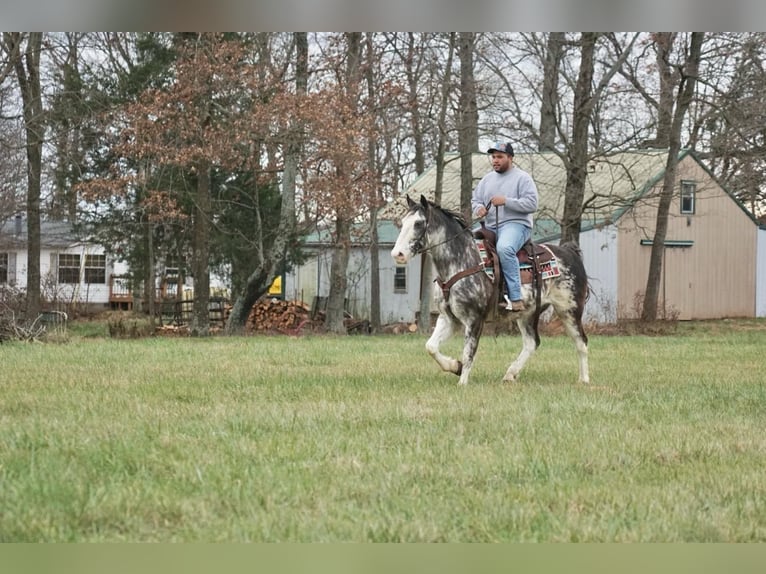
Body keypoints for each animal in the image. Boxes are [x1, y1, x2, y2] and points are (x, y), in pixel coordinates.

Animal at [392, 196, 592, 390]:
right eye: (403, 221)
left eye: (418, 223)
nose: (397, 254)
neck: (462, 261)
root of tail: (569, 252)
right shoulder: (449, 318)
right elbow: (431, 347)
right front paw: (455, 367)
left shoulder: (474, 319)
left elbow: (468, 352)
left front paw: (462, 382)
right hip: (527, 314)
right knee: (532, 343)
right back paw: (510, 374)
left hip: (569, 311)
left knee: (581, 342)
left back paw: (584, 380)